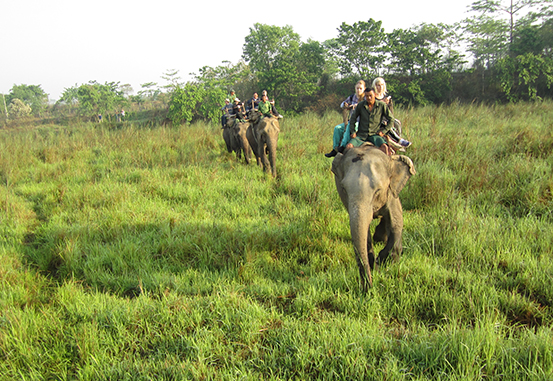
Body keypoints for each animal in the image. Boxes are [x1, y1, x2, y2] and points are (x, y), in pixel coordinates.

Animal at [328, 142, 414, 290]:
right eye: (344, 189)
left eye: (378, 191)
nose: (367, 288)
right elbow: (364, 232)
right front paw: (377, 267)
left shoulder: (391, 191)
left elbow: (397, 221)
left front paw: (386, 261)